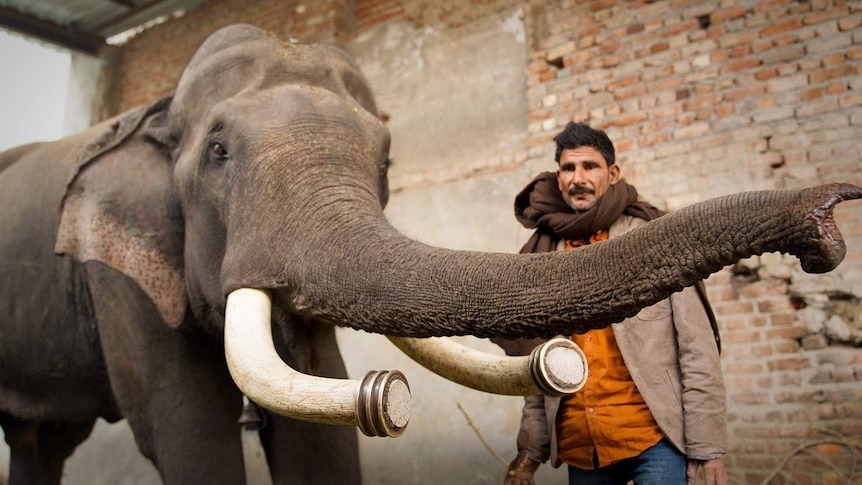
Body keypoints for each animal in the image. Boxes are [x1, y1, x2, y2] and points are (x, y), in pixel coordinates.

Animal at [0, 23, 860, 484]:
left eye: (385, 159)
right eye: (217, 152)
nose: (828, 226)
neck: (156, 111)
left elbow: (319, 429)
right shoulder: (121, 272)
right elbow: (192, 431)